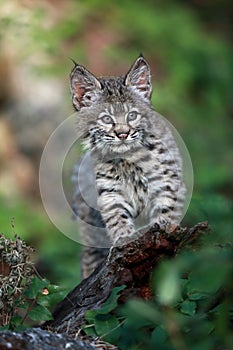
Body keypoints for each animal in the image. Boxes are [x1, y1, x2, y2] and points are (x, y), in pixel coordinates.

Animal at [71, 56, 186, 278]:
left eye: (132, 116)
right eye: (107, 119)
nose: (123, 134)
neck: (127, 158)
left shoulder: (166, 180)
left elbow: (166, 210)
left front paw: (163, 228)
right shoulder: (110, 191)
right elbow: (116, 216)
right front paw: (124, 239)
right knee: (88, 257)